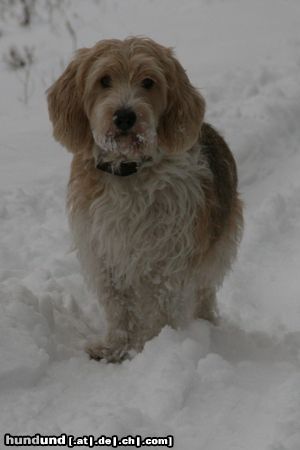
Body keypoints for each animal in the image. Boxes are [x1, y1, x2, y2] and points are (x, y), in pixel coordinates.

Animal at [47, 37, 244, 364]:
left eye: (149, 82)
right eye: (104, 80)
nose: (125, 116)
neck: (129, 171)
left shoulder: (166, 257)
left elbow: (160, 303)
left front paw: (152, 347)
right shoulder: (104, 251)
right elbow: (118, 305)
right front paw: (115, 347)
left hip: (217, 249)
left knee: (204, 293)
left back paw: (205, 325)